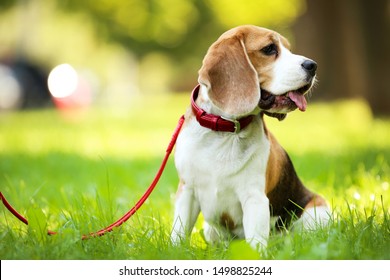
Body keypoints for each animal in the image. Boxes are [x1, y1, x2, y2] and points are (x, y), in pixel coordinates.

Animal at [171, 25, 330, 250]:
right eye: (269, 48)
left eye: (289, 49)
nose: (313, 65)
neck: (225, 131)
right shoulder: (187, 192)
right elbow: (178, 232)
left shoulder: (254, 198)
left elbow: (255, 244)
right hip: (211, 230)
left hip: (316, 213)